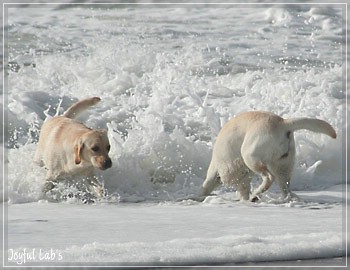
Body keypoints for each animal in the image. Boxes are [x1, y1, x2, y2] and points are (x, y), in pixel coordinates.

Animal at [200, 110, 336, 201]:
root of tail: (283, 123)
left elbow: (207, 186)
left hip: (250, 156)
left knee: (269, 177)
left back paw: (255, 195)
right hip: (283, 166)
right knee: (286, 188)